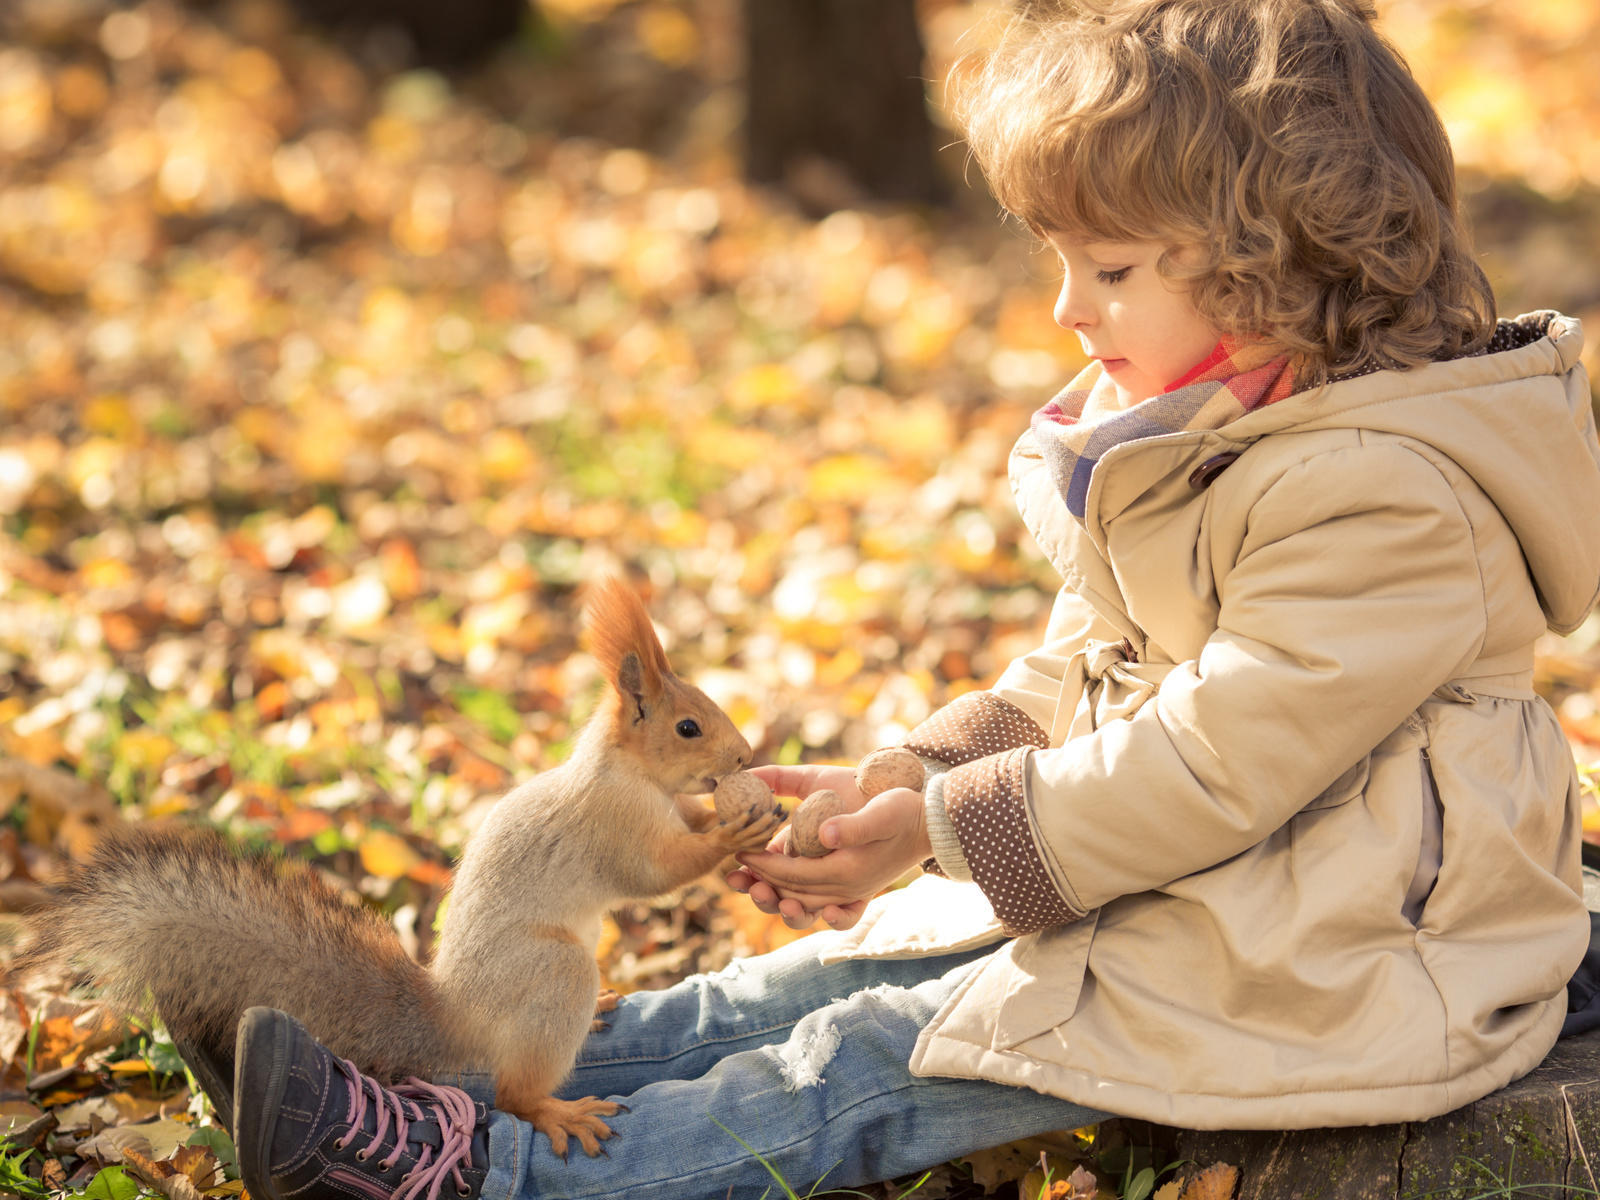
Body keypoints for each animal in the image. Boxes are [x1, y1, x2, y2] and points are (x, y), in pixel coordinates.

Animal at [10, 579, 787, 1158]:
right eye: (687, 727)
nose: (746, 756)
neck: (627, 771)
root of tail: (457, 1018)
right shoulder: (614, 824)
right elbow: (655, 873)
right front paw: (733, 831)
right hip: (554, 970)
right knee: (514, 1095)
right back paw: (558, 1111)